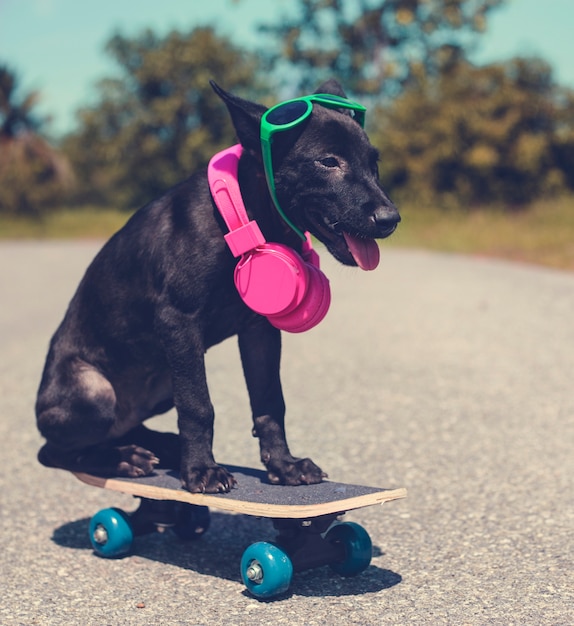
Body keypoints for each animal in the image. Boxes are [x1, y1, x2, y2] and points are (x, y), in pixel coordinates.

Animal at [35, 80, 400, 492]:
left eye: (374, 163)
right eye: (328, 161)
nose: (391, 219)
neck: (242, 218)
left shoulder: (259, 330)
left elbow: (270, 400)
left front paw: (284, 465)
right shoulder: (178, 321)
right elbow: (198, 405)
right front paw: (202, 470)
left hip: (164, 382)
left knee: (124, 427)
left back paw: (160, 445)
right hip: (97, 393)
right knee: (57, 451)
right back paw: (124, 458)